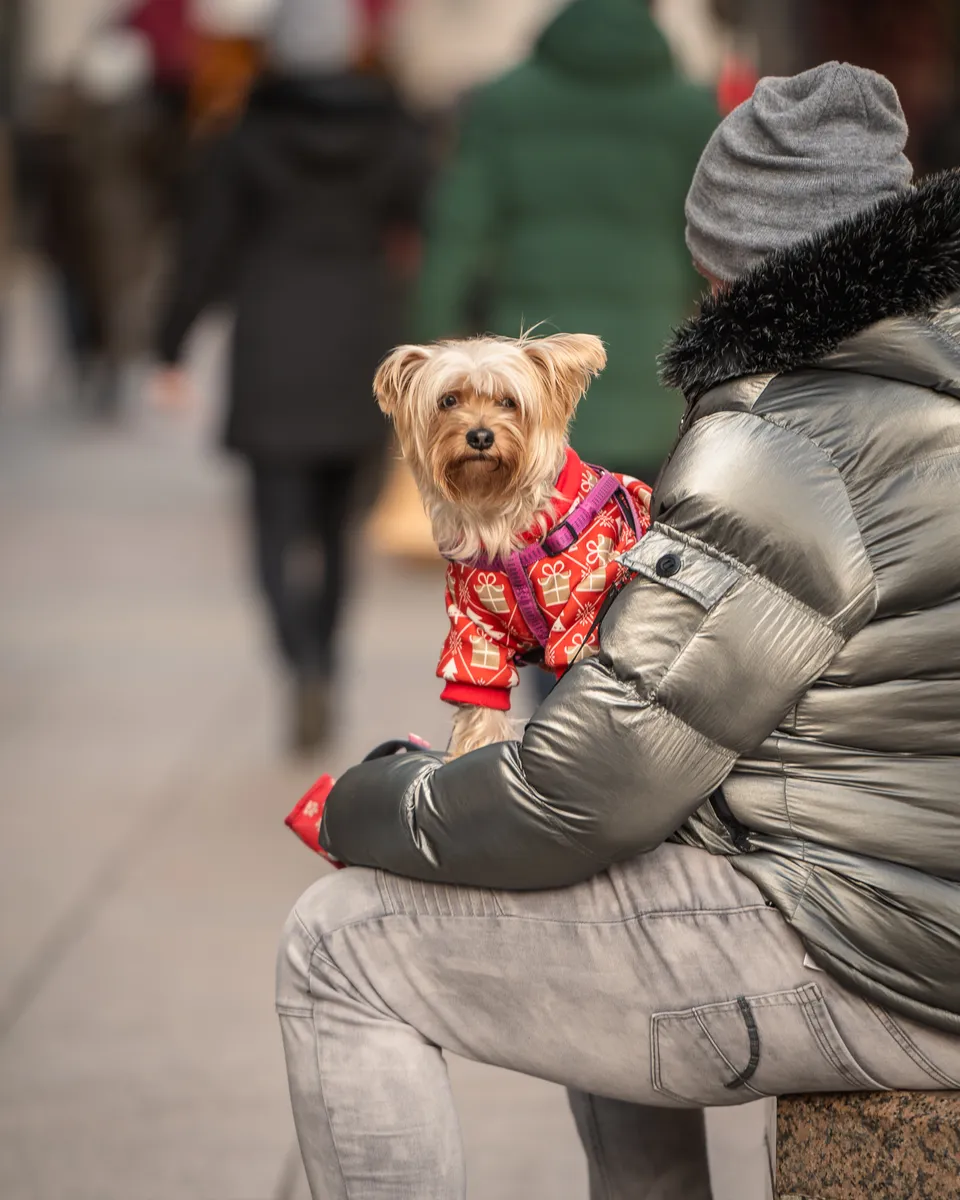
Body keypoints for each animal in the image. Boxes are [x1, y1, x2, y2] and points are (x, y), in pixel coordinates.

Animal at [372, 333, 648, 753]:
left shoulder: (583, 617)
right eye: (448, 401)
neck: (501, 523)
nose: (480, 436)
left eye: (508, 402)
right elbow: (480, 700)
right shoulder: (473, 634)